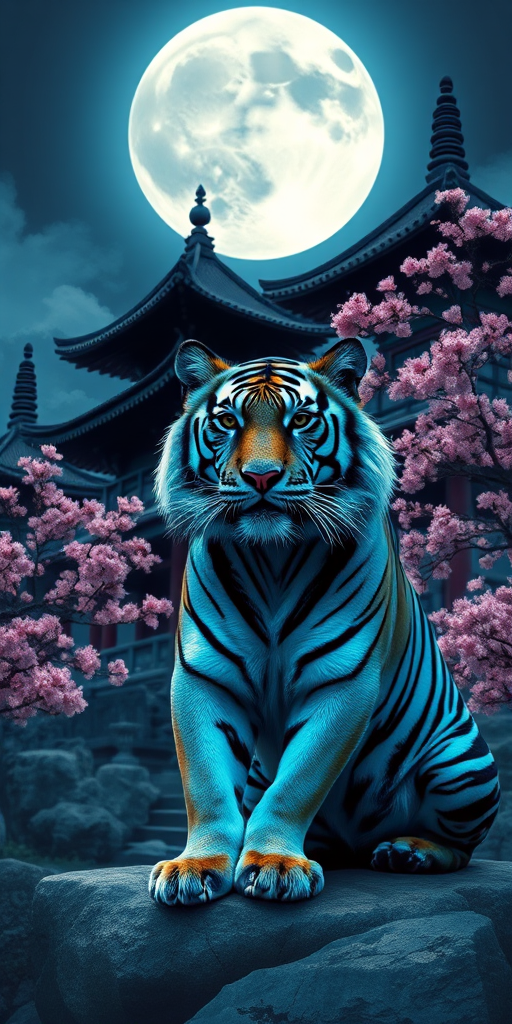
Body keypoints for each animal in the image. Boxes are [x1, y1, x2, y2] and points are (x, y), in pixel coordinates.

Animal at [149, 337, 500, 906]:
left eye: (300, 421)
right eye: (227, 421)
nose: (261, 476)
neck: (272, 559)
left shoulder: (342, 680)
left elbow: (298, 782)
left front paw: (274, 863)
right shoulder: (205, 676)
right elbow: (205, 782)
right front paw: (194, 868)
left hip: (460, 763)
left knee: (461, 847)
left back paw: (409, 851)